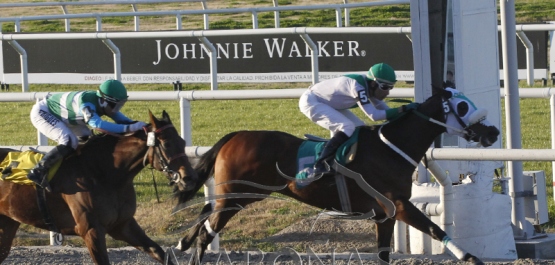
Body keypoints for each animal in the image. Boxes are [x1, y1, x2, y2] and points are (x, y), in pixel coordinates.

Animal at [0, 110, 199, 264]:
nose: (189, 178)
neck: (105, 173)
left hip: (8, 223)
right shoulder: (91, 230)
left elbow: (159, 252)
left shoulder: (123, 225)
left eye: (182, 142)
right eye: (166, 144)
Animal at [173, 85, 500, 262]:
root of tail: (235, 135)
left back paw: (182, 241)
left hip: (238, 194)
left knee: (204, 212)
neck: (391, 148)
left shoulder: (385, 215)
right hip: (237, 196)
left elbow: (383, 253)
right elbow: (435, 229)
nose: (493, 132)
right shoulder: (399, 205)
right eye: (462, 105)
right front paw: (470, 256)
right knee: (206, 232)